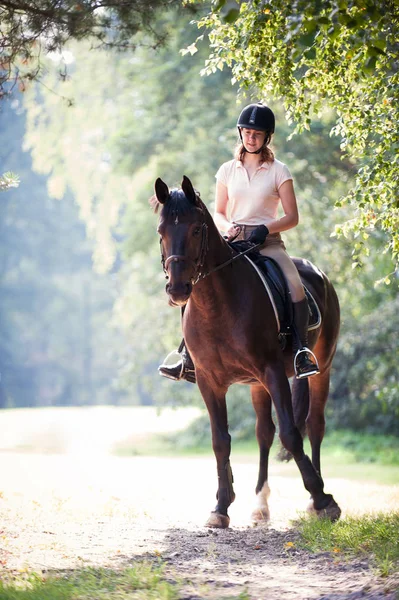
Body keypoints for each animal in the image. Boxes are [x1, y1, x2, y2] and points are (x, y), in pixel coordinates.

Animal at [152, 175, 340, 528]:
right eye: (161, 232)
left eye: (196, 229)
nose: (178, 290)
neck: (216, 305)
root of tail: (318, 272)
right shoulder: (209, 382)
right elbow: (220, 441)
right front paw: (221, 506)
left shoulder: (273, 371)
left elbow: (291, 434)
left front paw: (323, 499)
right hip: (256, 385)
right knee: (263, 433)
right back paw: (260, 504)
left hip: (321, 367)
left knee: (315, 425)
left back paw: (314, 500)